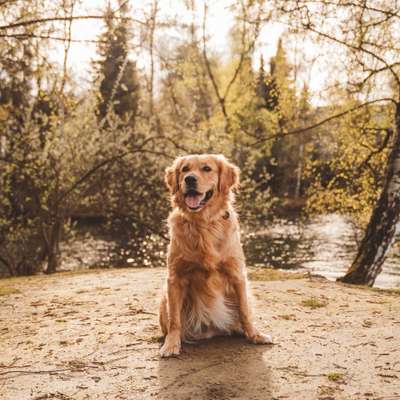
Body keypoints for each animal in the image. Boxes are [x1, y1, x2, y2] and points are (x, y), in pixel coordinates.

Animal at [159, 153, 272, 356]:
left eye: (206, 169)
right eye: (185, 169)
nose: (189, 179)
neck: (203, 223)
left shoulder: (237, 274)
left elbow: (244, 311)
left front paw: (254, 335)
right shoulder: (175, 278)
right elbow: (174, 319)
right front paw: (171, 344)